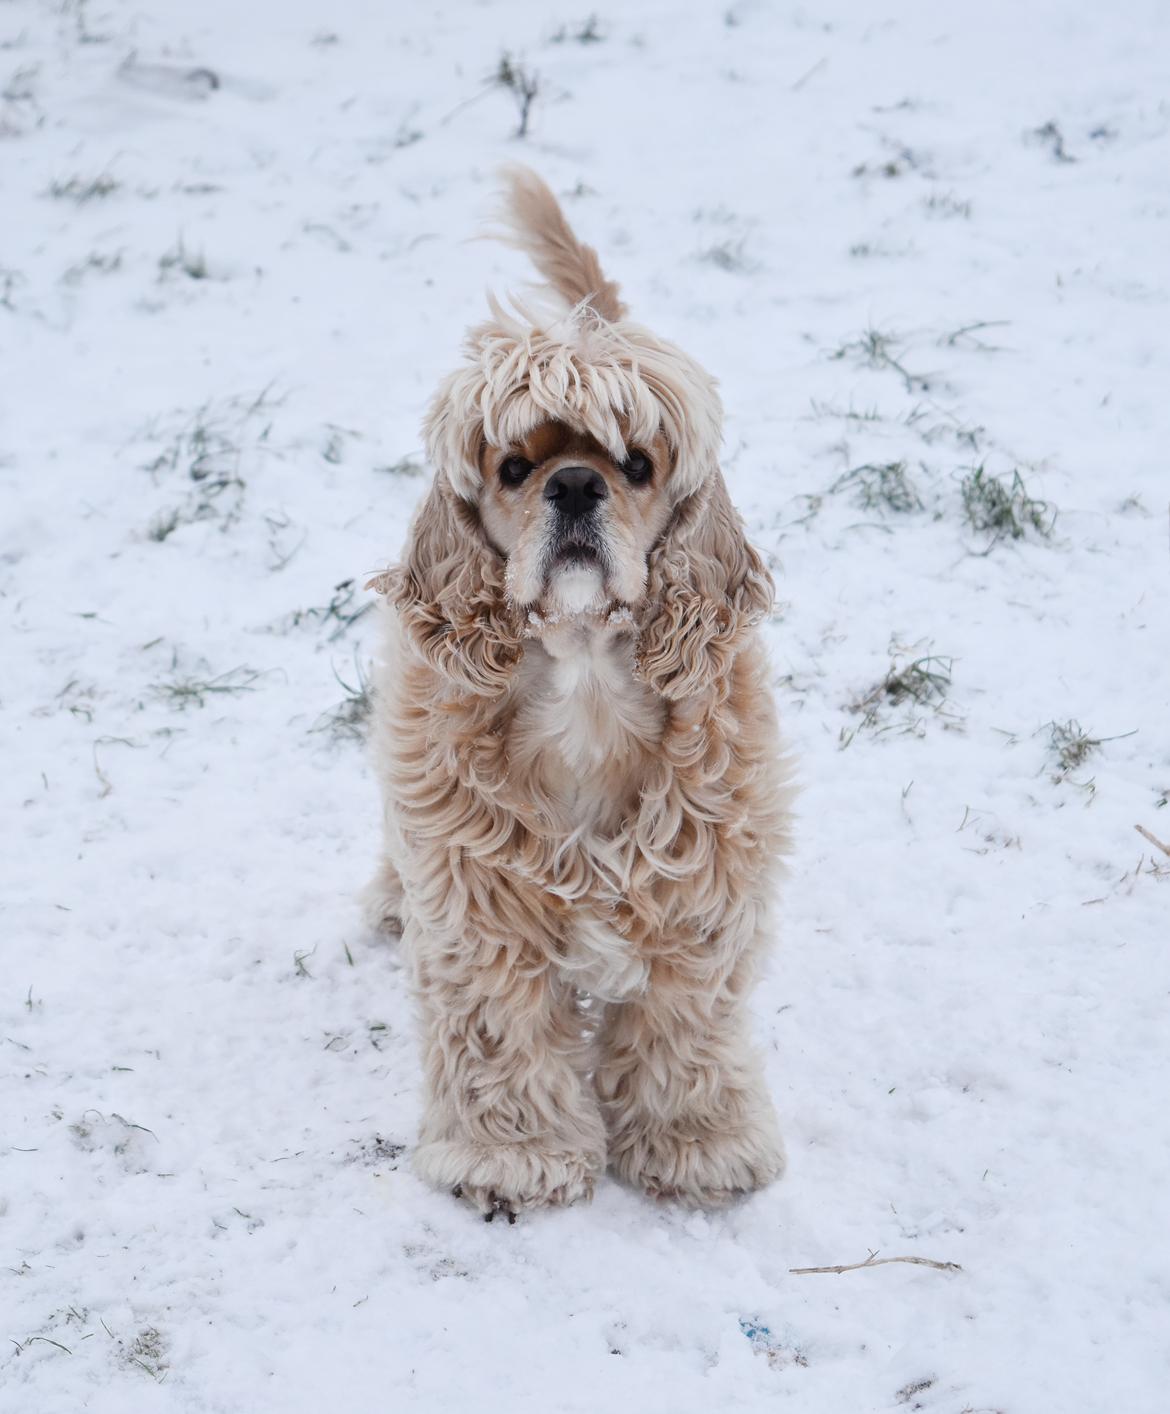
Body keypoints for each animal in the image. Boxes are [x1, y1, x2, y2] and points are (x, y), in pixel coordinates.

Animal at [365, 168, 797, 1216]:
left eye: (636, 464)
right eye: (514, 468)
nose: (572, 484)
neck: (587, 686)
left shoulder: (700, 896)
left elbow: (687, 1030)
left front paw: (700, 1145)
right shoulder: (480, 902)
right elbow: (498, 1031)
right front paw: (508, 1158)